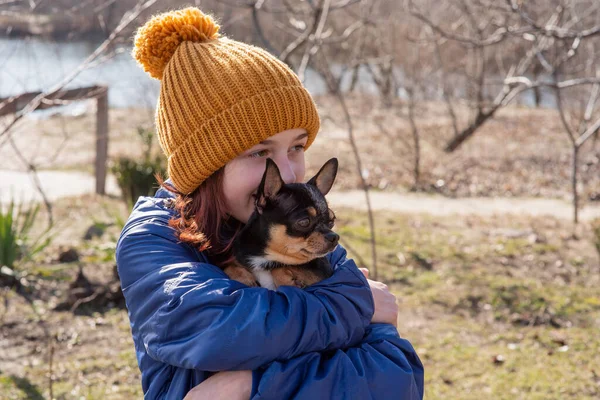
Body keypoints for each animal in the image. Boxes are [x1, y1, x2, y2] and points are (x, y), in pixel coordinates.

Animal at [224, 157, 340, 290]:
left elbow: (283, 267)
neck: (266, 258)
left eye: (331, 221)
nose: (334, 237)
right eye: (304, 222)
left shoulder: (322, 272)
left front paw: (285, 280)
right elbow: (229, 265)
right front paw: (244, 277)